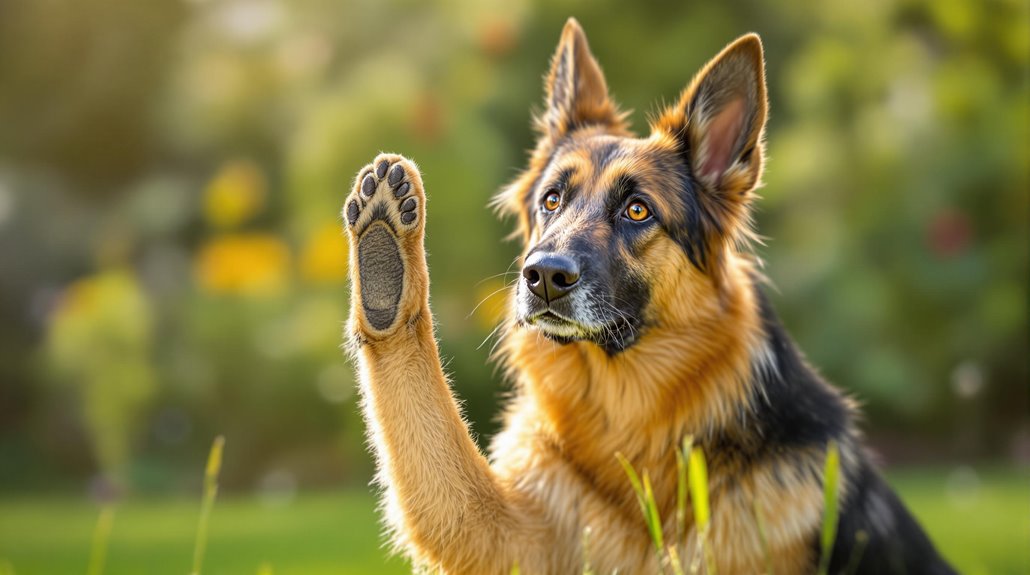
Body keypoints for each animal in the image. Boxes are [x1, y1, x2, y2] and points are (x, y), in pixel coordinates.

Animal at [341, 18, 951, 575]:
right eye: (552, 200)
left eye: (638, 211)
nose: (543, 277)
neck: (632, 415)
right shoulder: (503, 538)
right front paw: (388, 273)